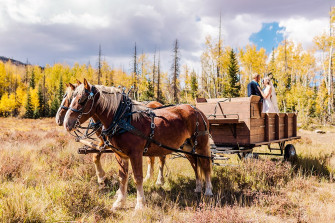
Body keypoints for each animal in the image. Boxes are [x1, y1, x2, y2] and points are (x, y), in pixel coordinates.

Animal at [63, 79, 213, 210]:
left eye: (82, 100)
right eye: (71, 99)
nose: (66, 123)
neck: (123, 119)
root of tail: (196, 110)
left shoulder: (135, 154)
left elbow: (137, 178)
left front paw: (140, 204)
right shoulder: (120, 155)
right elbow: (122, 177)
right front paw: (120, 202)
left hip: (201, 144)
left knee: (205, 165)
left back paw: (208, 190)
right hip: (188, 147)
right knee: (195, 164)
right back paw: (198, 187)